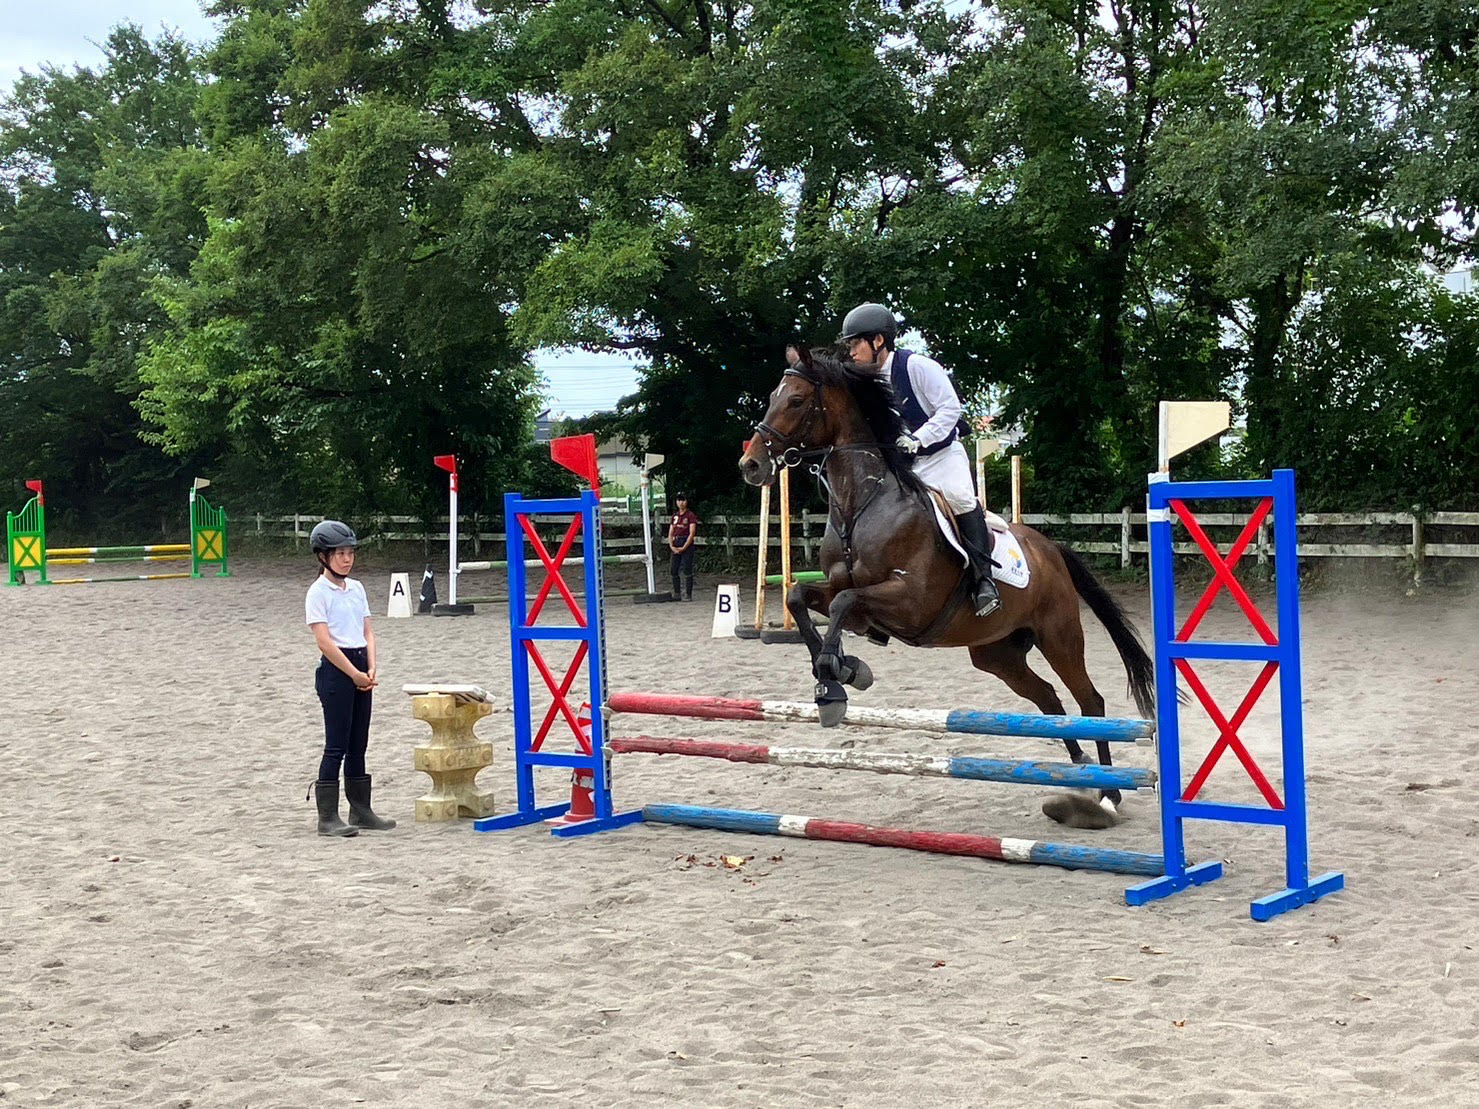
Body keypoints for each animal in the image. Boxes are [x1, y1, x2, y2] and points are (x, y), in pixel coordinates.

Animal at [739, 343, 1153, 828]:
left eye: (797, 400)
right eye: (773, 396)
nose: (750, 465)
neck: (861, 504)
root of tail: (1050, 549)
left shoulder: (910, 602)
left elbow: (842, 602)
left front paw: (837, 680)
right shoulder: (851, 598)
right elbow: (801, 598)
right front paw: (840, 672)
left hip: (1059, 636)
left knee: (1090, 701)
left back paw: (1108, 795)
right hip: (998, 654)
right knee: (1049, 701)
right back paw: (1082, 777)